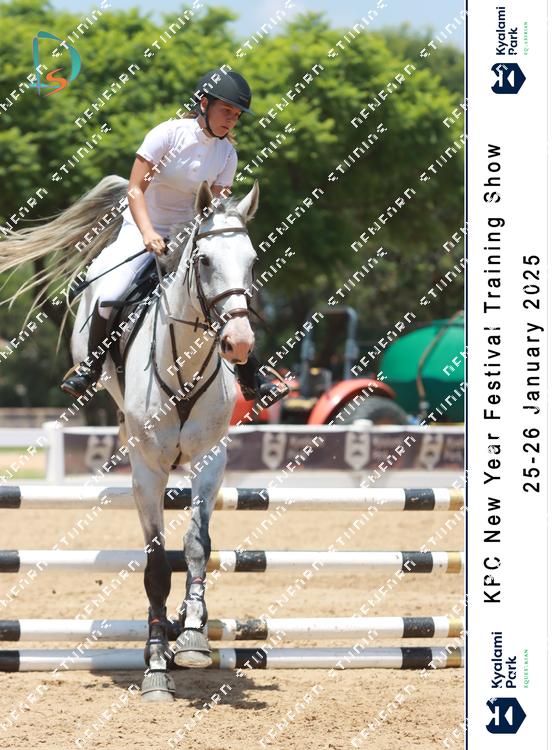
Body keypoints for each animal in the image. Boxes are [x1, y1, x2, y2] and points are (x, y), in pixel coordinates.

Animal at [72, 180, 259, 700]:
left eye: (253, 261)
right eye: (205, 261)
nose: (239, 343)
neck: (185, 364)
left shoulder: (209, 461)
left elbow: (197, 545)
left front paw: (193, 633)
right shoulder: (149, 472)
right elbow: (156, 566)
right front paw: (157, 665)